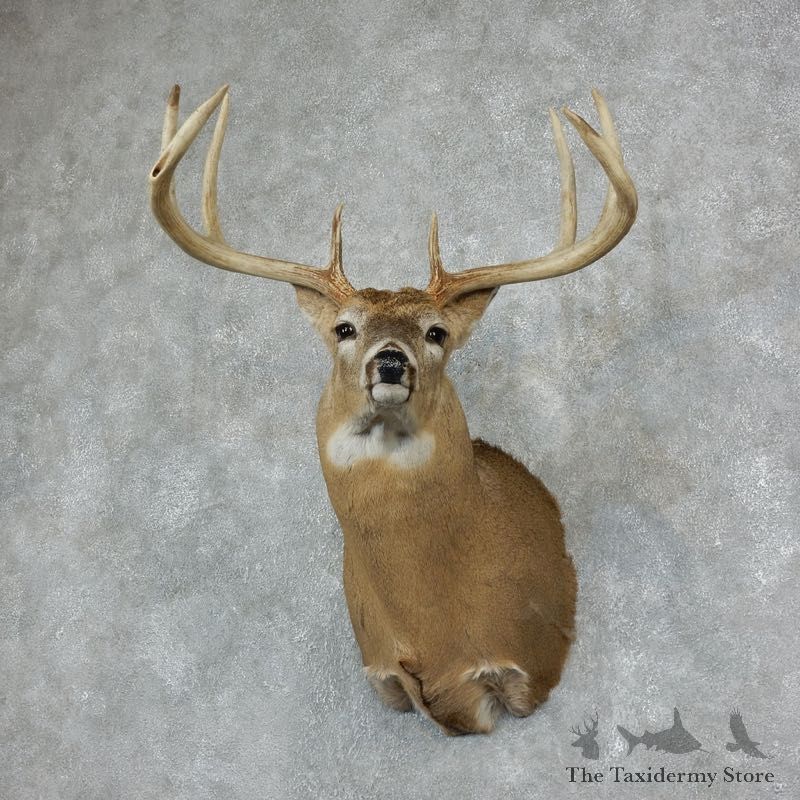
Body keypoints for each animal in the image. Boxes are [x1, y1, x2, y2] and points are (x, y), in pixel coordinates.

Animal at [148, 84, 637, 735]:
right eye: (344, 327)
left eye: (436, 332)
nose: (389, 361)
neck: (429, 630)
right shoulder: (381, 671)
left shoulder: (533, 652)